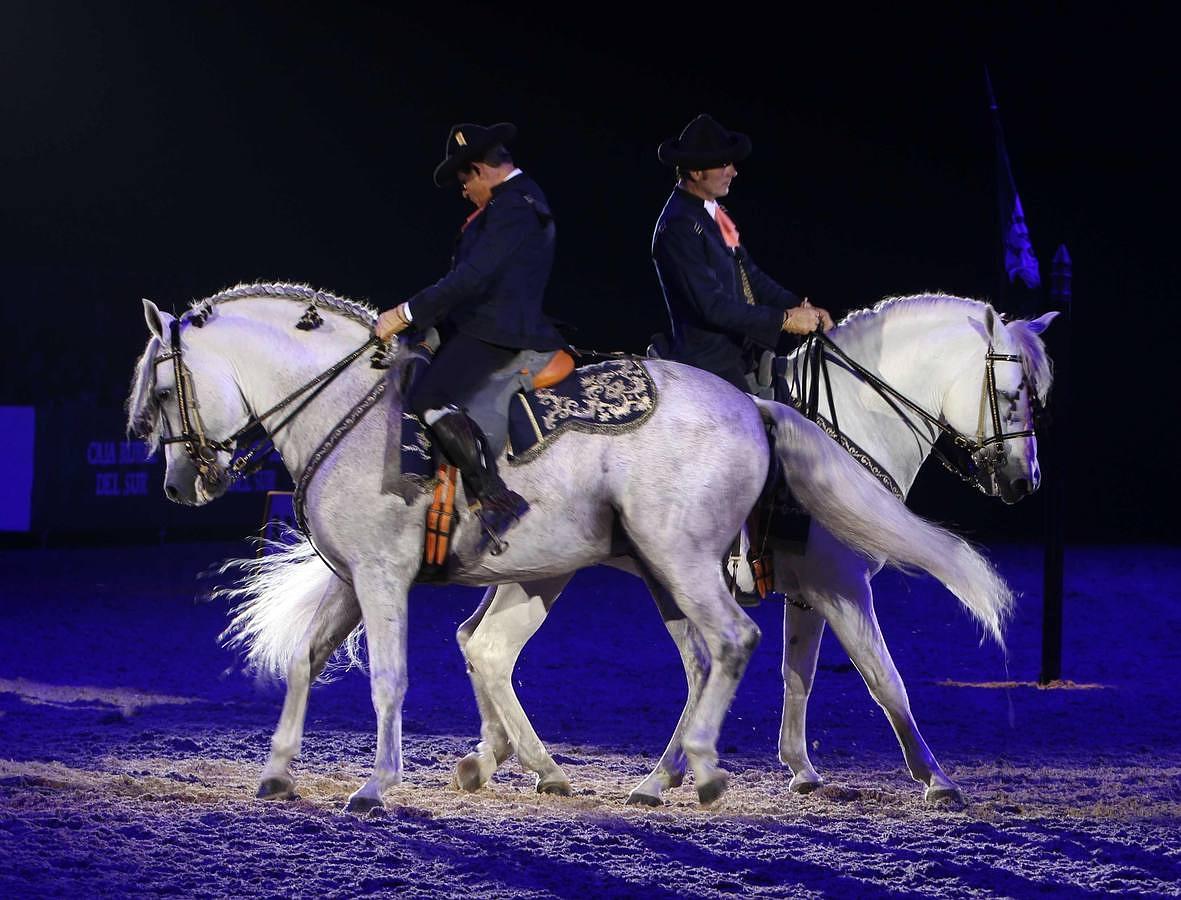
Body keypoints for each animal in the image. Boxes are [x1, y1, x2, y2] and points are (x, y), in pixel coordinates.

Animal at [124, 283, 1015, 807]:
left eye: (162, 390)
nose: (179, 484)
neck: (350, 410)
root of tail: (749, 407)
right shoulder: (353, 577)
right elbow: (309, 658)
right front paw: (277, 770)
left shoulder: (380, 576)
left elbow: (386, 676)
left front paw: (376, 784)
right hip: (612, 568)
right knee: (531, 650)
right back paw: (590, 768)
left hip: (673, 561)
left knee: (727, 643)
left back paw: (690, 766)